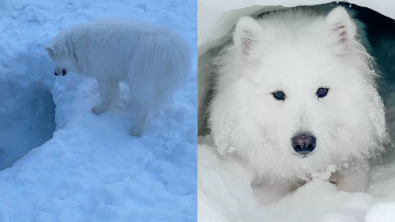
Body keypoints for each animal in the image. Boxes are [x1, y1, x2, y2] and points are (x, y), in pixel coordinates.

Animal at [44, 17, 192, 135]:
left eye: (55, 61)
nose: (55, 73)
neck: (78, 47)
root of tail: (166, 44)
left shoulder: (103, 78)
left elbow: (105, 97)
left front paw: (99, 109)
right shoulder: (111, 77)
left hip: (140, 83)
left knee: (143, 111)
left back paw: (137, 131)